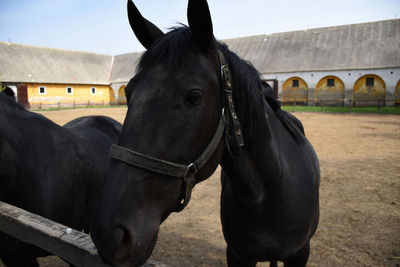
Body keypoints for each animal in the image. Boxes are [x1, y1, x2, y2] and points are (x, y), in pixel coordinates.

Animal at [92, 0, 320, 267]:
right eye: (128, 92)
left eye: (194, 96)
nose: (109, 234)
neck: (268, 195)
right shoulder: (238, 255)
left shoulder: (300, 254)